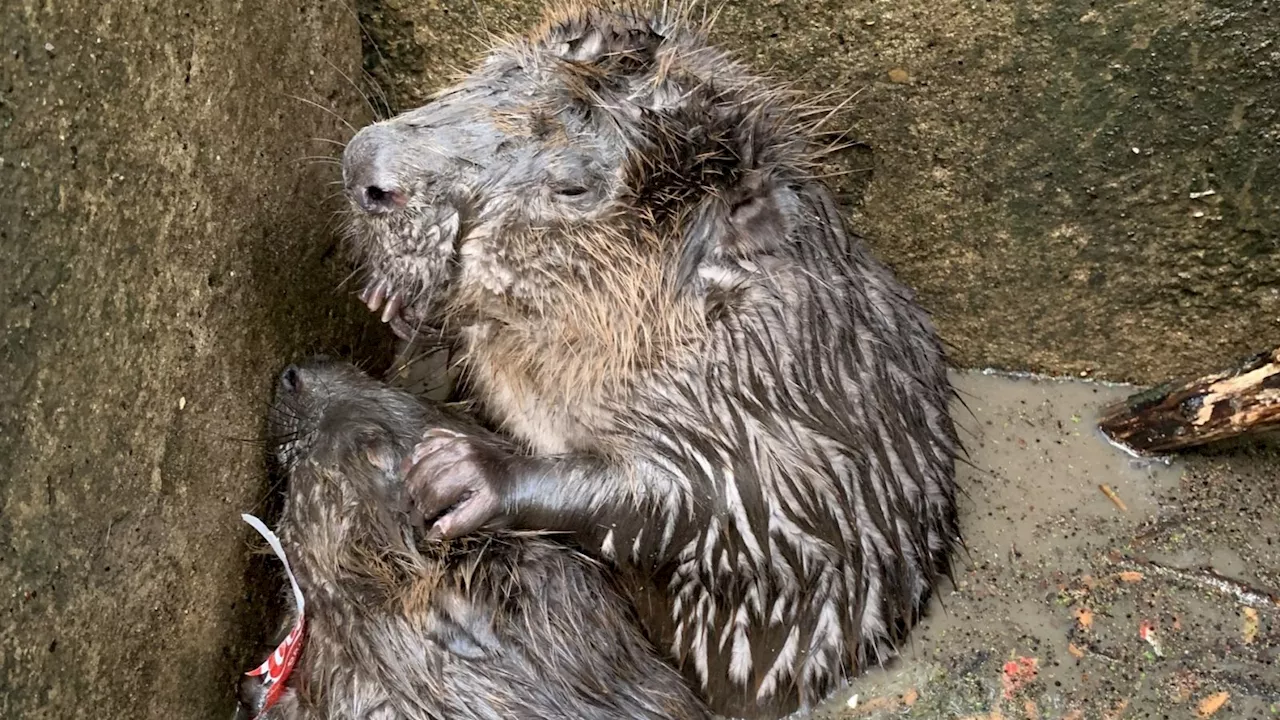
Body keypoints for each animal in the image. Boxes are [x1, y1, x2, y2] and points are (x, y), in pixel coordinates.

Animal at [340, 4, 962, 712]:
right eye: (496, 74)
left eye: (573, 187)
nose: (365, 168)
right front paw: (392, 296)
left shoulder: (768, 398)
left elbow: (712, 509)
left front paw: (460, 473)